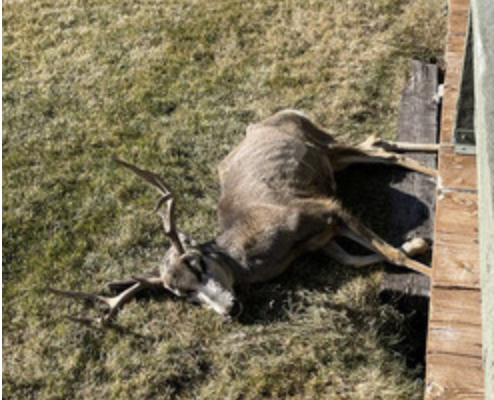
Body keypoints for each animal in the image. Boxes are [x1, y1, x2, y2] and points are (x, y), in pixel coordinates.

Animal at [50, 110, 439, 325]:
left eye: (198, 264)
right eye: (183, 296)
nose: (230, 310)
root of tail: (281, 113)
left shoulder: (322, 208)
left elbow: (388, 253)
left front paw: (433, 272)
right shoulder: (321, 240)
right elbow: (358, 259)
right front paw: (418, 243)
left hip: (323, 142)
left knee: (384, 152)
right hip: (332, 158)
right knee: (379, 144)